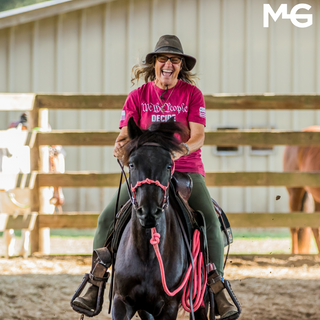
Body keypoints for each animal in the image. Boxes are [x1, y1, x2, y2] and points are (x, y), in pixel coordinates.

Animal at [112, 117, 208, 320]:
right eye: (131, 164)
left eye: (169, 165)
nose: (149, 212)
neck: (147, 254)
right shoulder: (121, 302)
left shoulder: (168, 306)